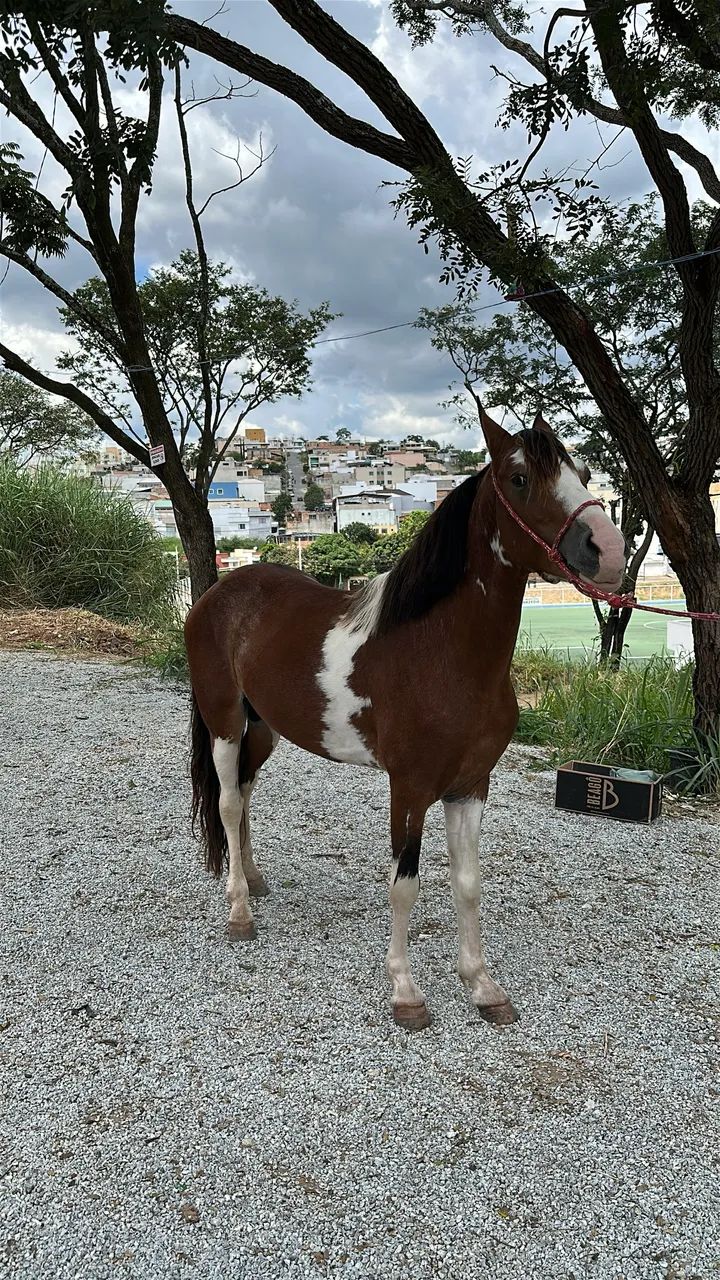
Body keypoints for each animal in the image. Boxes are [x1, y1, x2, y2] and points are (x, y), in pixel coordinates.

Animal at [184, 410, 626, 1030]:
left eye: (583, 473)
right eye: (519, 479)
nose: (607, 551)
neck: (438, 652)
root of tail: (219, 592)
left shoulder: (470, 785)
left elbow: (467, 883)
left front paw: (482, 986)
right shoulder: (410, 788)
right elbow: (405, 886)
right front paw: (405, 992)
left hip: (264, 730)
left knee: (245, 795)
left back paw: (253, 879)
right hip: (223, 721)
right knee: (226, 802)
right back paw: (239, 912)